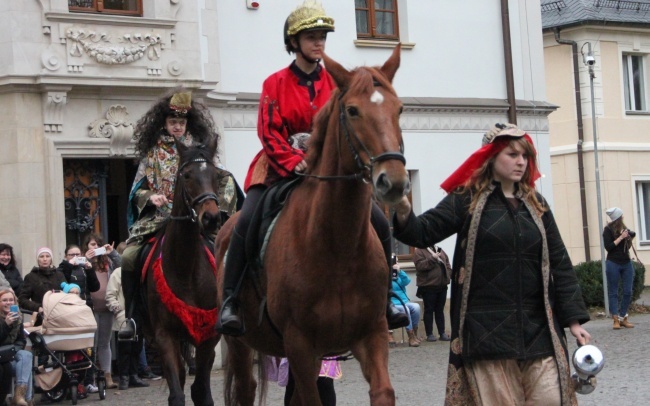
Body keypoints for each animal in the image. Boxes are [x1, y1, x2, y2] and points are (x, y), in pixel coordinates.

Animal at [140, 138, 224, 404]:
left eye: (216, 175)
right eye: (186, 175)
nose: (211, 218)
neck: (186, 269)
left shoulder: (209, 335)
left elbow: (201, 391)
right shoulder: (164, 335)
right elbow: (177, 394)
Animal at [215, 45, 408, 406]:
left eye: (399, 109)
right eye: (352, 110)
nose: (394, 182)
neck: (337, 247)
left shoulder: (371, 334)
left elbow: (383, 391)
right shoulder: (301, 345)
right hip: (239, 343)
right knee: (246, 388)